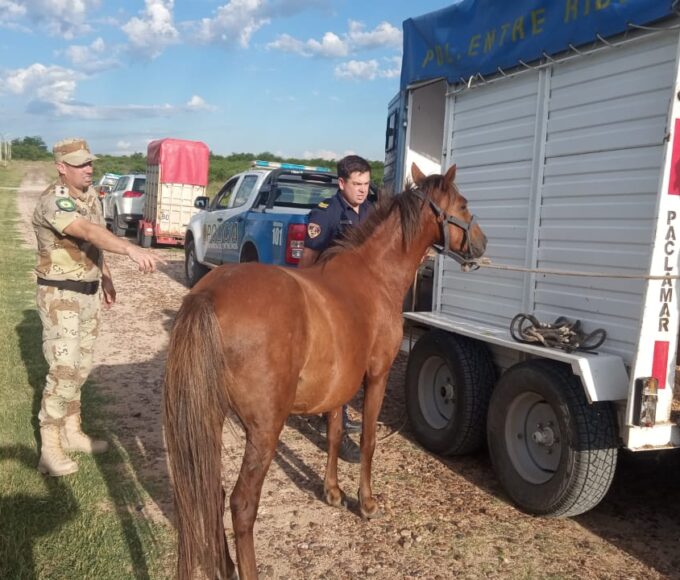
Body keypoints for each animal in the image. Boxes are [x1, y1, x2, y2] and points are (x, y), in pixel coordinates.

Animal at [163, 162, 487, 580]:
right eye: (463, 204)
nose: (482, 243)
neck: (373, 276)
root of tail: (208, 295)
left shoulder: (339, 385)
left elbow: (334, 434)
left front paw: (332, 492)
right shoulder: (377, 377)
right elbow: (368, 440)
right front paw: (366, 502)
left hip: (211, 417)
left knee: (211, 491)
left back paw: (224, 563)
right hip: (264, 430)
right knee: (241, 504)